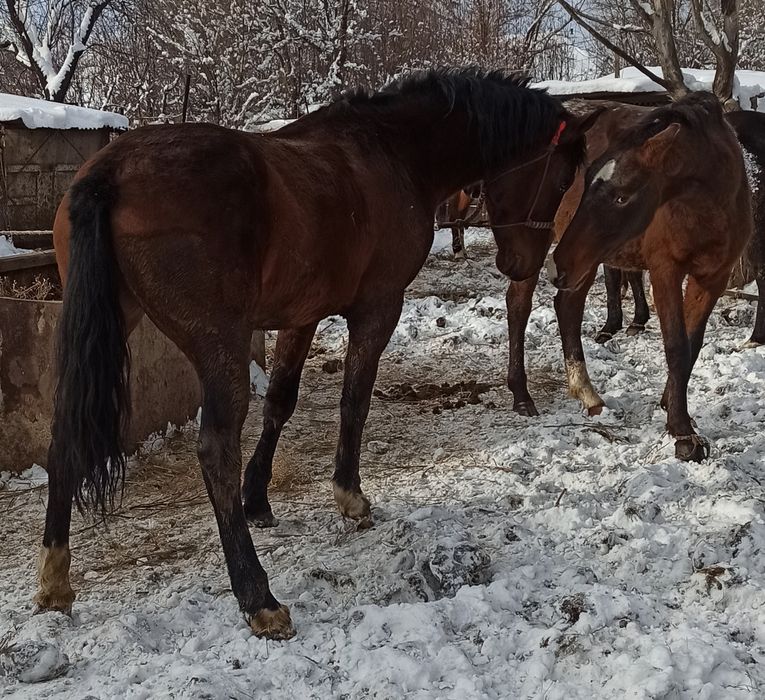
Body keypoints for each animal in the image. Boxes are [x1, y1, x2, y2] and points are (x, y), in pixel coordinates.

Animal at [37, 69, 595, 640]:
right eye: (560, 181)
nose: (523, 264)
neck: (393, 151)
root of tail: (110, 174)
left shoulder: (300, 316)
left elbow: (280, 403)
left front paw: (258, 498)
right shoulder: (378, 308)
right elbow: (355, 400)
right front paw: (349, 495)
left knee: (64, 432)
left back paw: (55, 579)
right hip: (220, 344)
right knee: (215, 450)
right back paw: (257, 596)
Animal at [549, 92, 752, 461]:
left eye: (622, 195)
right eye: (585, 184)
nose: (557, 267)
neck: (710, 208)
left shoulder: (712, 278)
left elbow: (692, 345)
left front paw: (672, 406)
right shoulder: (665, 271)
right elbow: (675, 345)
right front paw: (683, 435)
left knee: (566, 305)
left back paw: (586, 393)